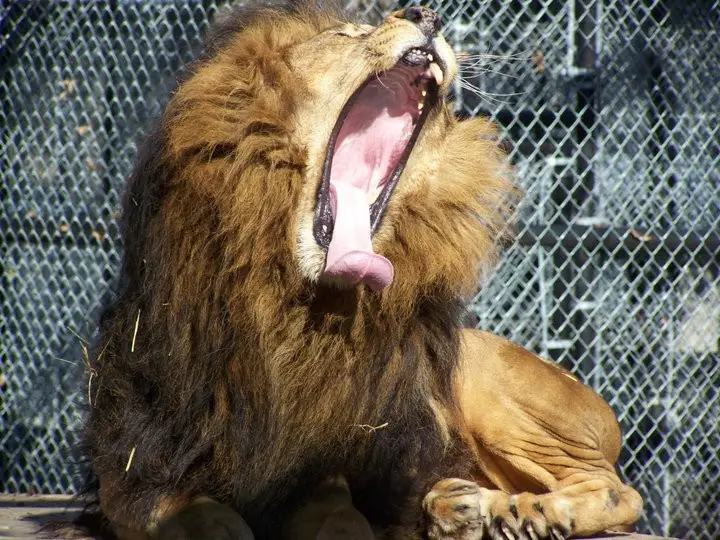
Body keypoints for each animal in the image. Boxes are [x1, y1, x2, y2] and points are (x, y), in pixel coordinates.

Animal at [83, 2, 640, 536]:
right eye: (343, 36)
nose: (427, 15)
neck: (288, 310)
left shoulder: (323, 468)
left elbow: (339, 518)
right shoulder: (136, 458)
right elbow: (175, 510)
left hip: (497, 390)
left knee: (618, 491)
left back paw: (532, 511)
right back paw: (465, 506)